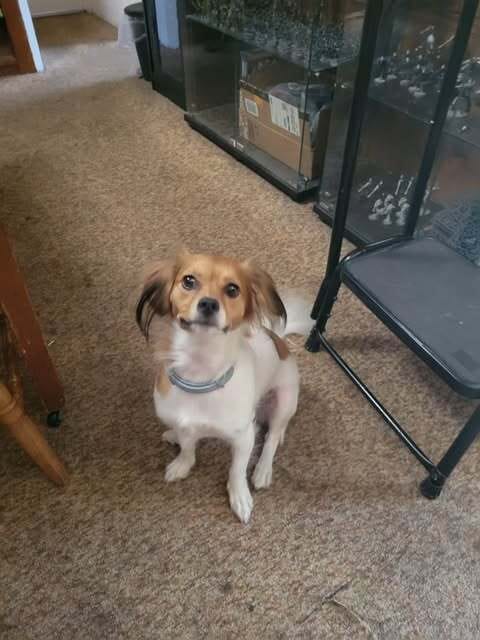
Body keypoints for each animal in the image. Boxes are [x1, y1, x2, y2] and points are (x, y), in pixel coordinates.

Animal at [136, 250, 312, 523]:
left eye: (232, 289)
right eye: (188, 281)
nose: (208, 304)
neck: (201, 375)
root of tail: (279, 341)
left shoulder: (243, 438)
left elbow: (236, 470)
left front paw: (239, 497)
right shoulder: (184, 422)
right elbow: (188, 448)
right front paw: (182, 465)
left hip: (285, 399)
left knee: (272, 436)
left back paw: (263, 471)